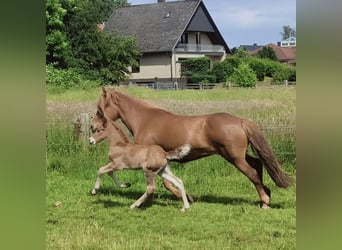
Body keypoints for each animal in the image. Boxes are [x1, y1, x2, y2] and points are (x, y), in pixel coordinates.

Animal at [93, 87, 292, 208]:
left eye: (99, 109)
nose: (94, 126)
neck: (145, 119)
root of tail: (240, 121)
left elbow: (166, 183)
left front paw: (185, 199)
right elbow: (167, 182)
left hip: (234, 157)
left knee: (252, 173)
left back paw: (265, 201)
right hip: (239, 155)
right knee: (258, 164)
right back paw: (266, 195)